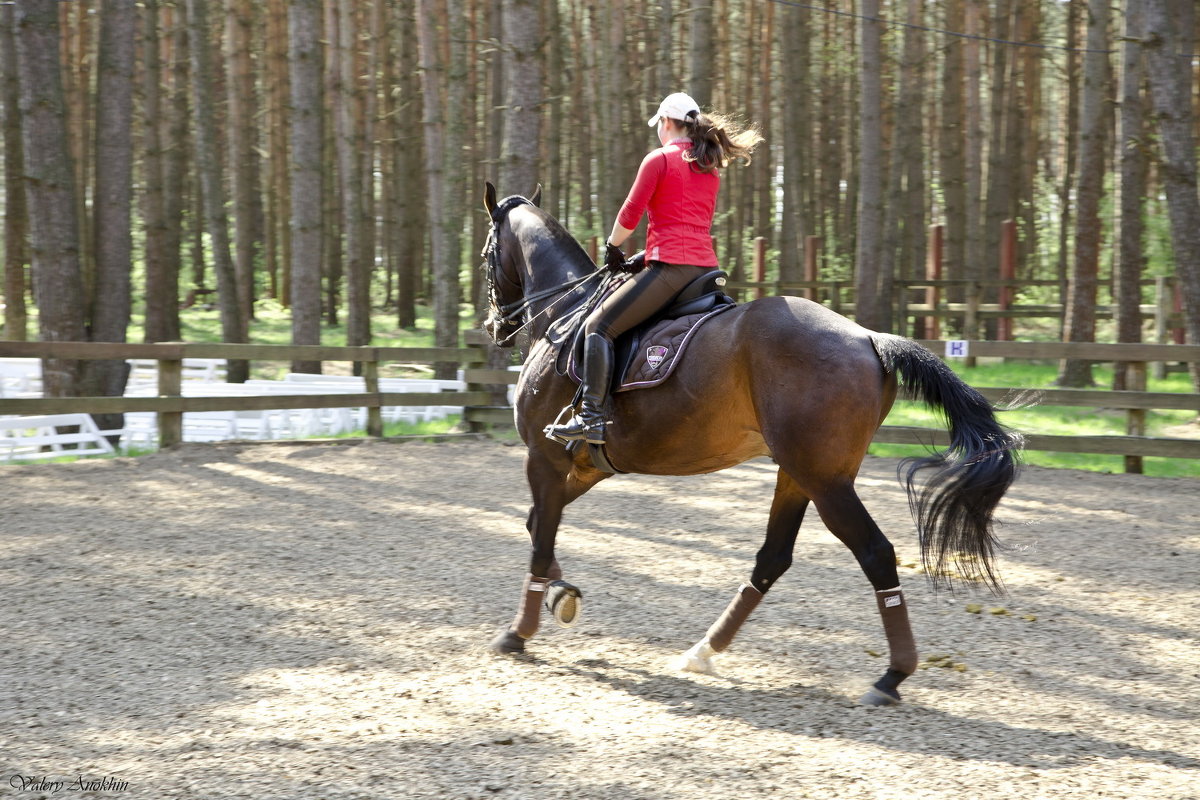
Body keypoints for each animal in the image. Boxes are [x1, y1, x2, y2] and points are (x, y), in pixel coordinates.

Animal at [477, 183, 1022, 705]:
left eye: (485, 255)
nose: (494, 326)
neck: (567, 313)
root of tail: (868, 337)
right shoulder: (587, 466)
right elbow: (538, 525)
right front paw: (560, 593)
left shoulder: (544, 457)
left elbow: (541, 536)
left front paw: (519, 631)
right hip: (798, 473)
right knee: (773, 558)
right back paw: (703, 651)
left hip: (825, 482)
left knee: (875, 553)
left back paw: (891, 676)